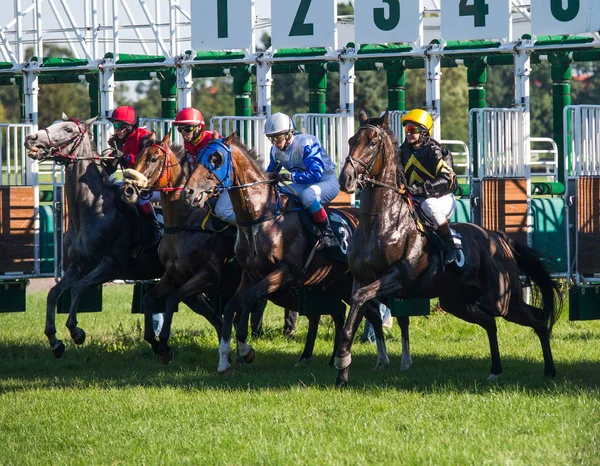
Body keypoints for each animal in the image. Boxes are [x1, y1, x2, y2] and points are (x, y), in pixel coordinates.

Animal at [24, 114, 164, 358]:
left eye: (68, 129)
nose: (31, 138)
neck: (92, 209)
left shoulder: (111, 266)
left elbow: (78, 288)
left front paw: (76, 331)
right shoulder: (78, 266)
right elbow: (53, 293)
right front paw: (54, 340)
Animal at [119, 132, 237, 364]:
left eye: (153, 158)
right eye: (137, 156)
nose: (128, 190)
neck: (183, 223)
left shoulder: (206, 276)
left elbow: (172, 299)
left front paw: (164, 343)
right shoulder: (175, 276)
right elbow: (149, 299)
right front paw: (156, 343)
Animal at [183, 131, 386, 374]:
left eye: (216, 159)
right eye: (198, 156)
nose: (189, 192)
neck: (262, 215)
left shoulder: (286, 273)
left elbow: (250, 298)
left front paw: (245, 349)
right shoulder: (250, 274)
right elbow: (232, 306)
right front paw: (224, 360)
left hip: (349, 281)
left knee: (370, 311)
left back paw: (380, 359)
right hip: (335, 282)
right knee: (348, 311)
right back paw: (333, 358)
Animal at [332, 109, 564, 386]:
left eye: (373, 142)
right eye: (351, 140)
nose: (346, 179)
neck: (379, 220)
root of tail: (499, 239)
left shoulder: (398, 277)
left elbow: (360, 299)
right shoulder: (361, 278)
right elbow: (352, 319)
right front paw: (342, 372)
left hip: (503, 299)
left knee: (536, 319)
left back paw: (550, 370)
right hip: (457, 300)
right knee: (490, 322)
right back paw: (495, 369)